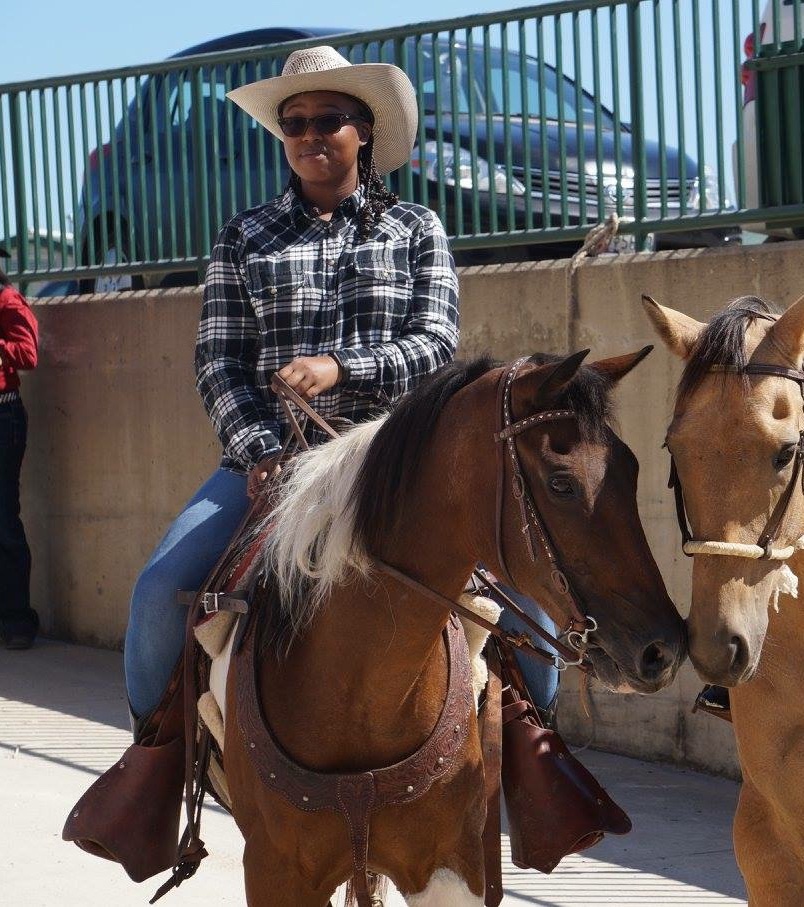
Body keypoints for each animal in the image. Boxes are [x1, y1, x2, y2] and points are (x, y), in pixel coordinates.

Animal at [225, 352, 684, 907]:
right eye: (561, 484)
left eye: (632, 471)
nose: (663, 650)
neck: (358, 687)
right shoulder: (275, 871)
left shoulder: (449, 866)